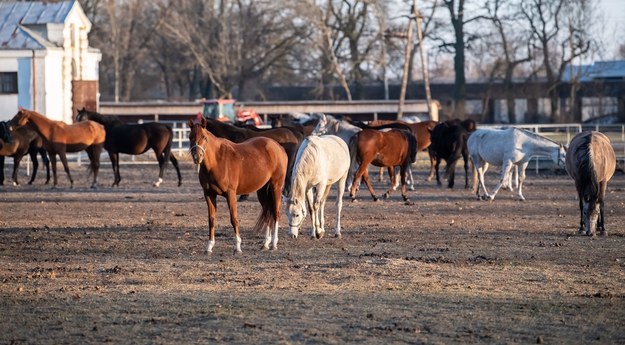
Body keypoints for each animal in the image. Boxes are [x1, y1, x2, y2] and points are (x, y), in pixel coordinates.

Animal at [188, 115, 288, 253]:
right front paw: (209, 246)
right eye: (190, 137)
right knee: (267, 213)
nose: (197, 156)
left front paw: (238, 247)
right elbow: (211, 220)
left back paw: (273, 244)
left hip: (276, 186)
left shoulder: (231, 194)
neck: (217, 161)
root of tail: (279, 147)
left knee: (276, 212)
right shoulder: (209, 194)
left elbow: (234, 219)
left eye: (204, 137)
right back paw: (265, 244)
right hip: (262, 190)